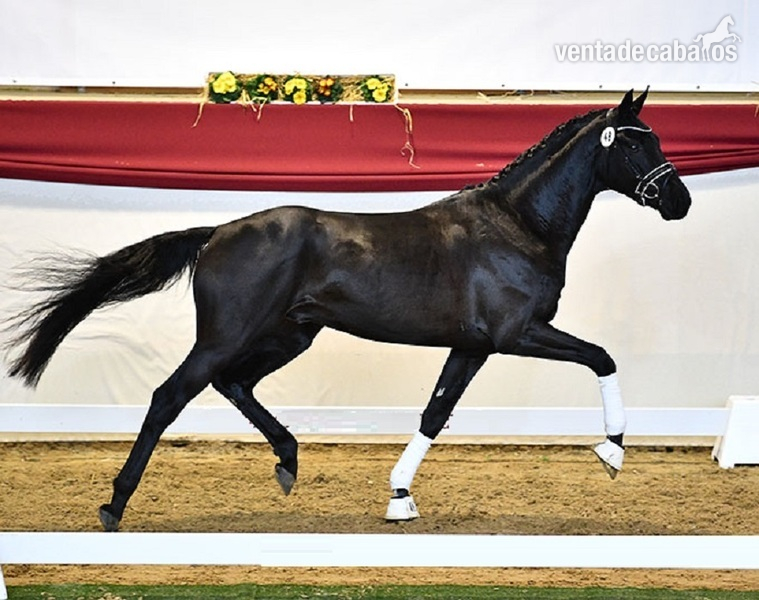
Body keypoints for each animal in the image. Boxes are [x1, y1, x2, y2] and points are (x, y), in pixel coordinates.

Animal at [4, 89, 691, 531]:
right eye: (636, 144)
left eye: (657, 138)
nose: (678, 200)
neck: (517, 226)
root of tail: (218, 232)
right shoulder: (518, 332)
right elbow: (601, 356)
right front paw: (612, 452)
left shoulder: (473, 344)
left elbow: (436, 413)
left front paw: (400, 497)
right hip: (228, 335)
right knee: (170, 395)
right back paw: (114, 506)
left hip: (289, 335)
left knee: (235, 384)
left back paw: (288, 461)